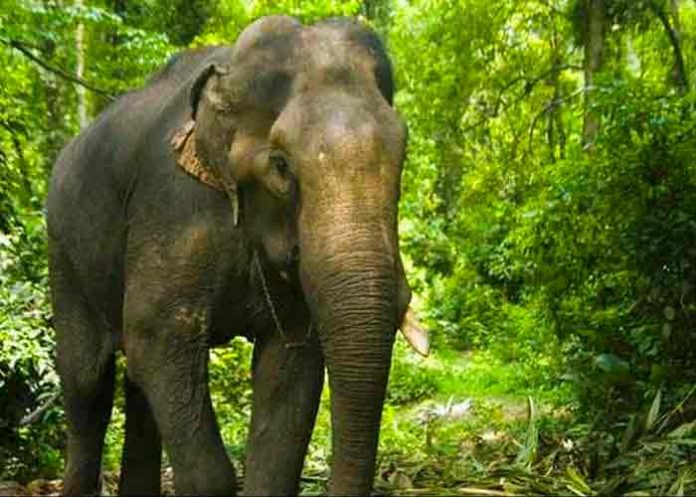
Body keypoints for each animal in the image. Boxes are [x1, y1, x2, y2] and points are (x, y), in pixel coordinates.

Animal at [47, 15, 428, 496]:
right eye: (281, 166)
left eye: (403, 156)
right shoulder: (173, 205)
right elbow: (155, 333)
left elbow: (289, 369)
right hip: (62, 247)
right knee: (87, 377)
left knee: (135, 381)